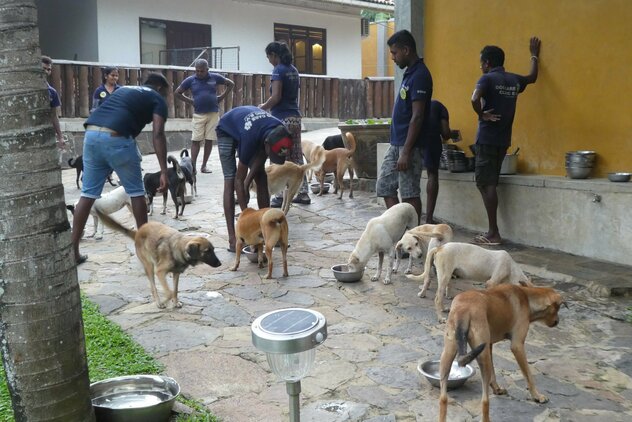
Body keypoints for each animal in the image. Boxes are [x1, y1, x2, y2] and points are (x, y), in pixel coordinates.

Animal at [94, 209, 222, 308]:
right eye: (207, 251)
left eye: (213, 249)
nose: (220, 264)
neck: (178, 248)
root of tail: (138, 232)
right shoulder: (160, 272)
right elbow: (169, 292)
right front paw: (164, 302)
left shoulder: (176, 274)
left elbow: (175, 290)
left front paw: (175, 302)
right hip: (150, 267)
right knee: (153, 287)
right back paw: (158, 301)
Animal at [404, 242, 532, 322]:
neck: (512, 268)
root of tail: (440, 248)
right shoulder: (491, 282)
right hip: (444, 276)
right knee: (437, 298)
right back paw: (440, 318)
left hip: (447, 275)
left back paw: (442, 308)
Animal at [436, 284, 564, 422]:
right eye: (558, 308)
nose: (557, 321)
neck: (527, 297)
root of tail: (464, 309)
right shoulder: (517, 346)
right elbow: (529, 376)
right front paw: (537, 396)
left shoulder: (489, 345)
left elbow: (493, 373)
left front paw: (497, 389)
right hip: (482, 356)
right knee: (485, 401)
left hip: (448, 355)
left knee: (443, 398)